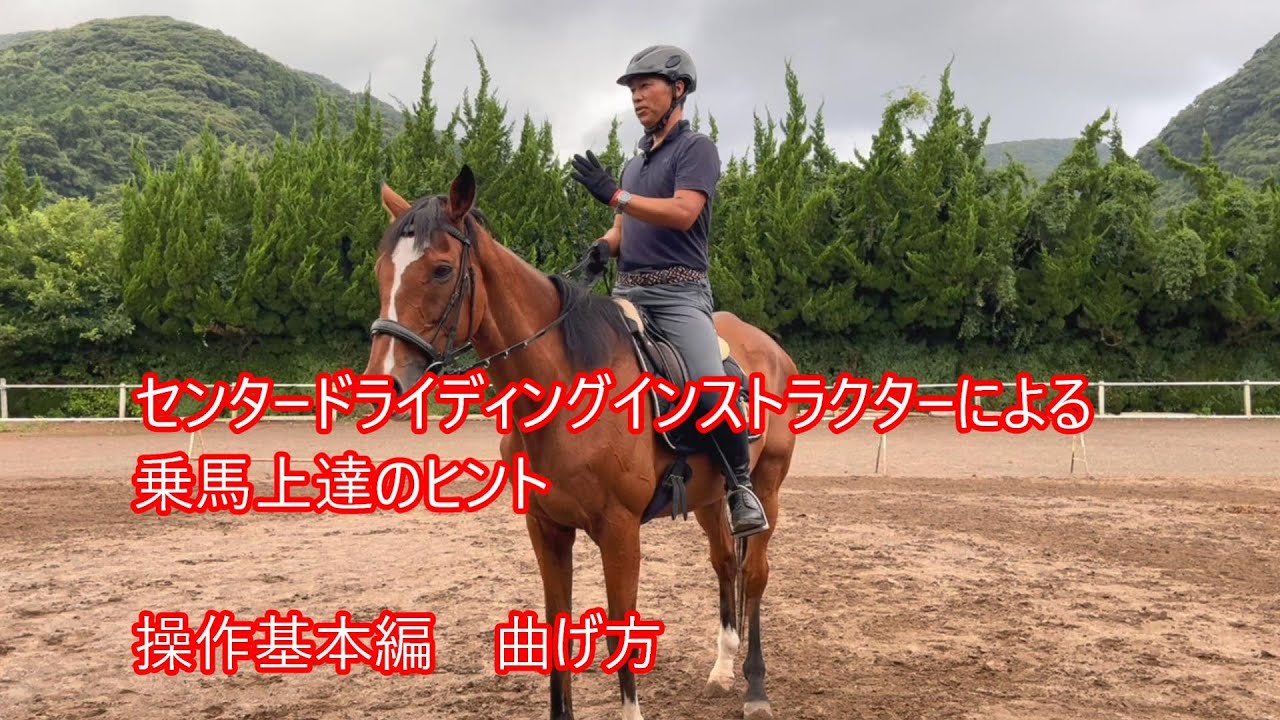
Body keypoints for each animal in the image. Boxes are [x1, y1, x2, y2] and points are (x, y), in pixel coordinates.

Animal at [362, 164, 798, 720]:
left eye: (440, 271)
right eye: (382, 271)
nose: (382, 382)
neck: (566, 383)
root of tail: (769, 347)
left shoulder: (620, 530)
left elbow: (622, 636)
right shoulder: (545, 527)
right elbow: (556, 633)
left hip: (766, 485)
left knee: (755, 574)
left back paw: (755, 688)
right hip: (708, 496)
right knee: (725, 564)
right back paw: (722, 669)